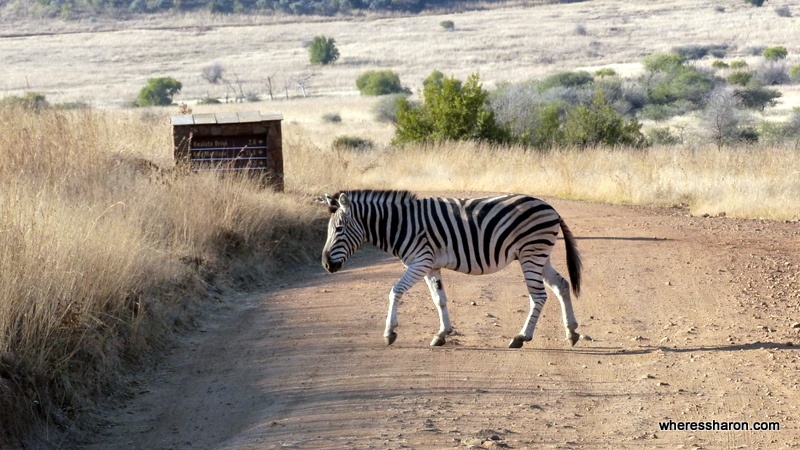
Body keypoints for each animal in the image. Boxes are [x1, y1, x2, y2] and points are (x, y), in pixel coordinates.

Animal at [320, 189, 580, 348]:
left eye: (339, 229)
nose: (326, 265)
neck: (401, 224)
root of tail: (550, 207)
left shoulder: (420, 261)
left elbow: (395, 291)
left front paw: (390, 332)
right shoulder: (430, 266)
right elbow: (440, 299)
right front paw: (442, 334)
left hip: (531, 253)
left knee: (539, 296)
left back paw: (522, 337)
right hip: (540, 256)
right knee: (562, 285)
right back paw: (572, 332)